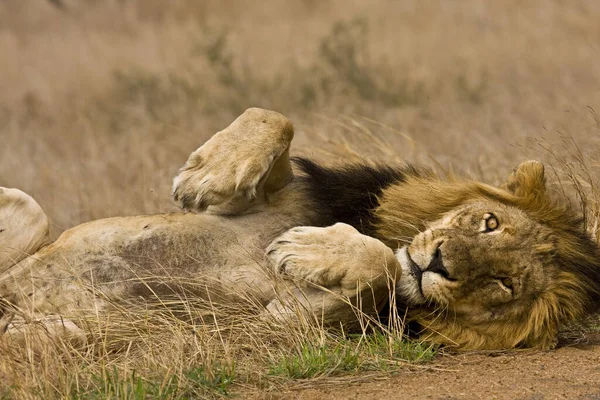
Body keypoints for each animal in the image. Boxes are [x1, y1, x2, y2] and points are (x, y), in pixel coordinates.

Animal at [1, 108, 600, 348]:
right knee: (31, 210)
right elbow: (273, 119)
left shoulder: (300, 326)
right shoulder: (292, 194)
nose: (439, 264)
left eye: (503, 286)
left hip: (72, 332)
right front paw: (209, 173)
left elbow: (378, 269)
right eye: (488, 223)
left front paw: (306, 252)